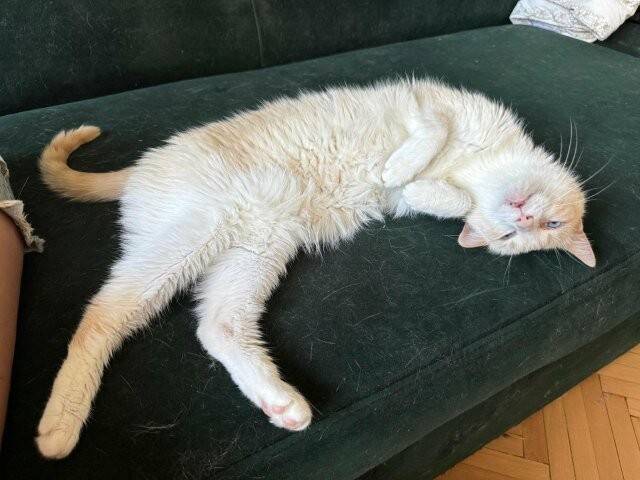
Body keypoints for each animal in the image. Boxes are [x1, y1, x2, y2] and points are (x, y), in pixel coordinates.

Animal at [35, 78, 595, 459]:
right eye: (547, 222)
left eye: (515, 238)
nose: (521, 219)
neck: (475, 165)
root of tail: (143, 165)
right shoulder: (427, 99)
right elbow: (432, 132)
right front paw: (403, 167)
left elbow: (438, 198)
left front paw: (424, 188)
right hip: (197, 235)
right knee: (103, 314)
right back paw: (59, 428)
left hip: (258, 246)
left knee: (216, 326)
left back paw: (282, 404)